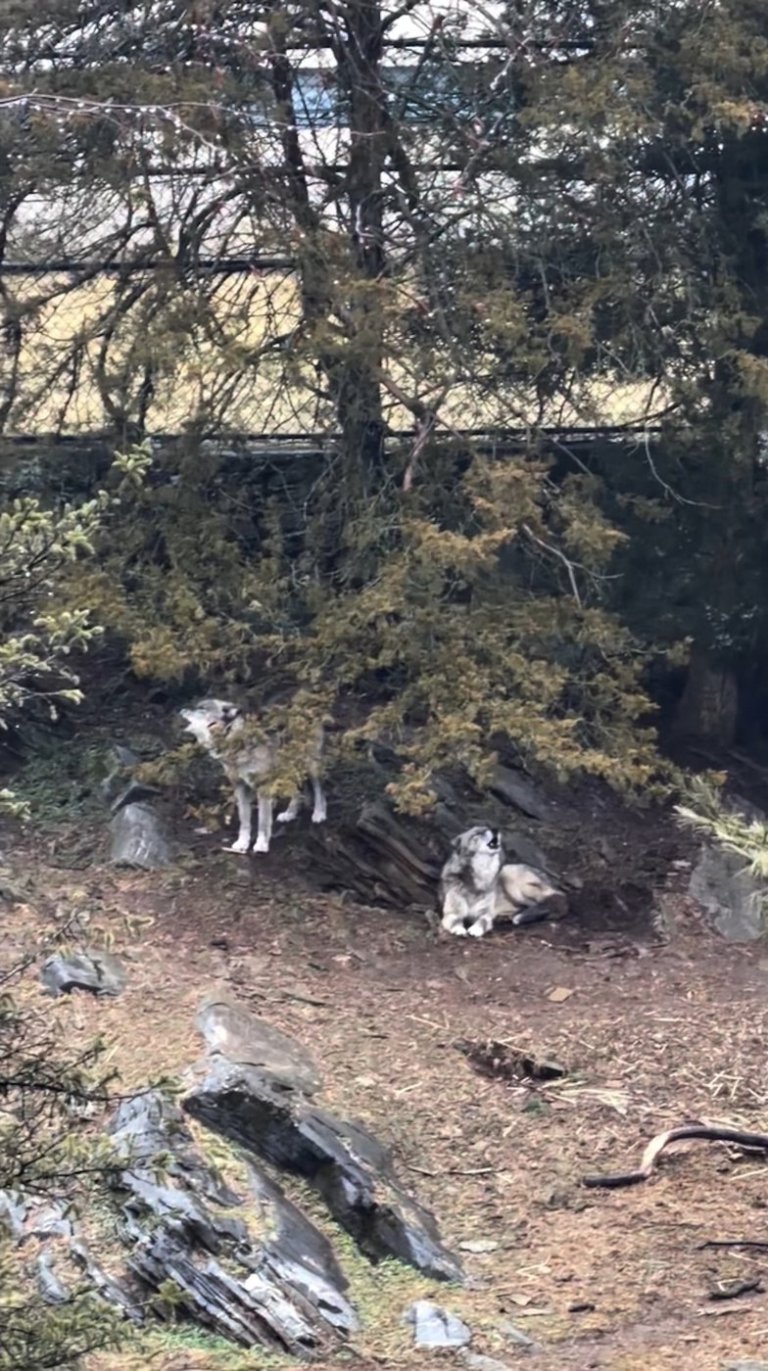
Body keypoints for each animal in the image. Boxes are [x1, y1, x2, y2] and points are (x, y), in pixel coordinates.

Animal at [179, 698, 326, 855]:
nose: (181, 710)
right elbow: (244, 820)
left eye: (202, 709)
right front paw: (242, 843)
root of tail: (306, 707)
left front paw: (261, 844)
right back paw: (290, 813)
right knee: (298, 792)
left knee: (319, 790)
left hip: (311, 766)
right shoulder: (240, 788)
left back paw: (319, 813)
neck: (234, 739)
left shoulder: (263, 787)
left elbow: (263, 821)